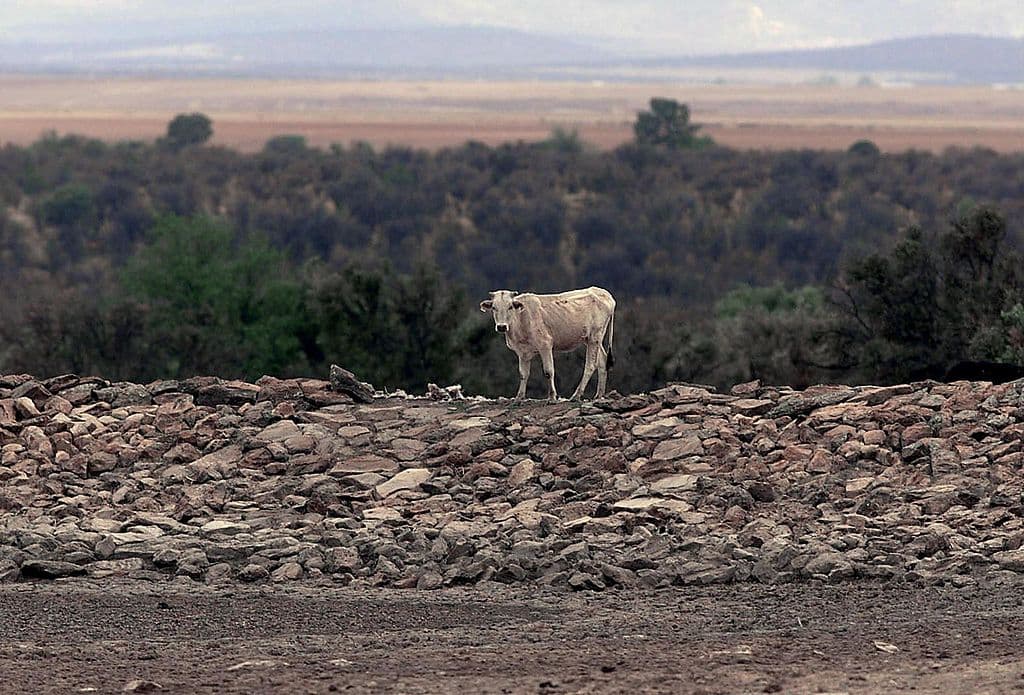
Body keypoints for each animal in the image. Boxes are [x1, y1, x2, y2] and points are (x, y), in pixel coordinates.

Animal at [479, 286, 616, 401]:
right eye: (494, 307)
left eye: (510, 307)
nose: (501, 326)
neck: (521, 320)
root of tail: (604, 293)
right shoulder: (522, 352)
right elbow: (523, 374)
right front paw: (519, 397)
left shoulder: (545, 344)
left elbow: (548, 372)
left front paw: (552, 396)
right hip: (592, 339)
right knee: (602, 361)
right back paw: (599, 395)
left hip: (595, 336)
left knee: (590, 365)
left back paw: (576, 395)